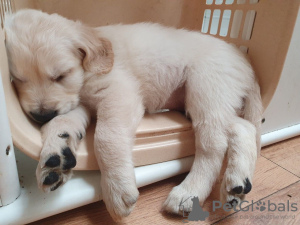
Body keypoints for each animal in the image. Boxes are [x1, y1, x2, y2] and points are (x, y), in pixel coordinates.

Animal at [4, 9, 262, 221]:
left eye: (60, 76)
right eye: (17, 80)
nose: (41, 116)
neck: (87, 71)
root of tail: (244, 61)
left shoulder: (118, 94)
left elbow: (105, 137)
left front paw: (117, 188)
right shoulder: (77, 103)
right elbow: (61, 122)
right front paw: (54, 158)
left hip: (206, 88)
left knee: (214, 145)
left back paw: (189, 193)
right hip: (214, 101)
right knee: (243, 127)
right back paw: (237, 184)